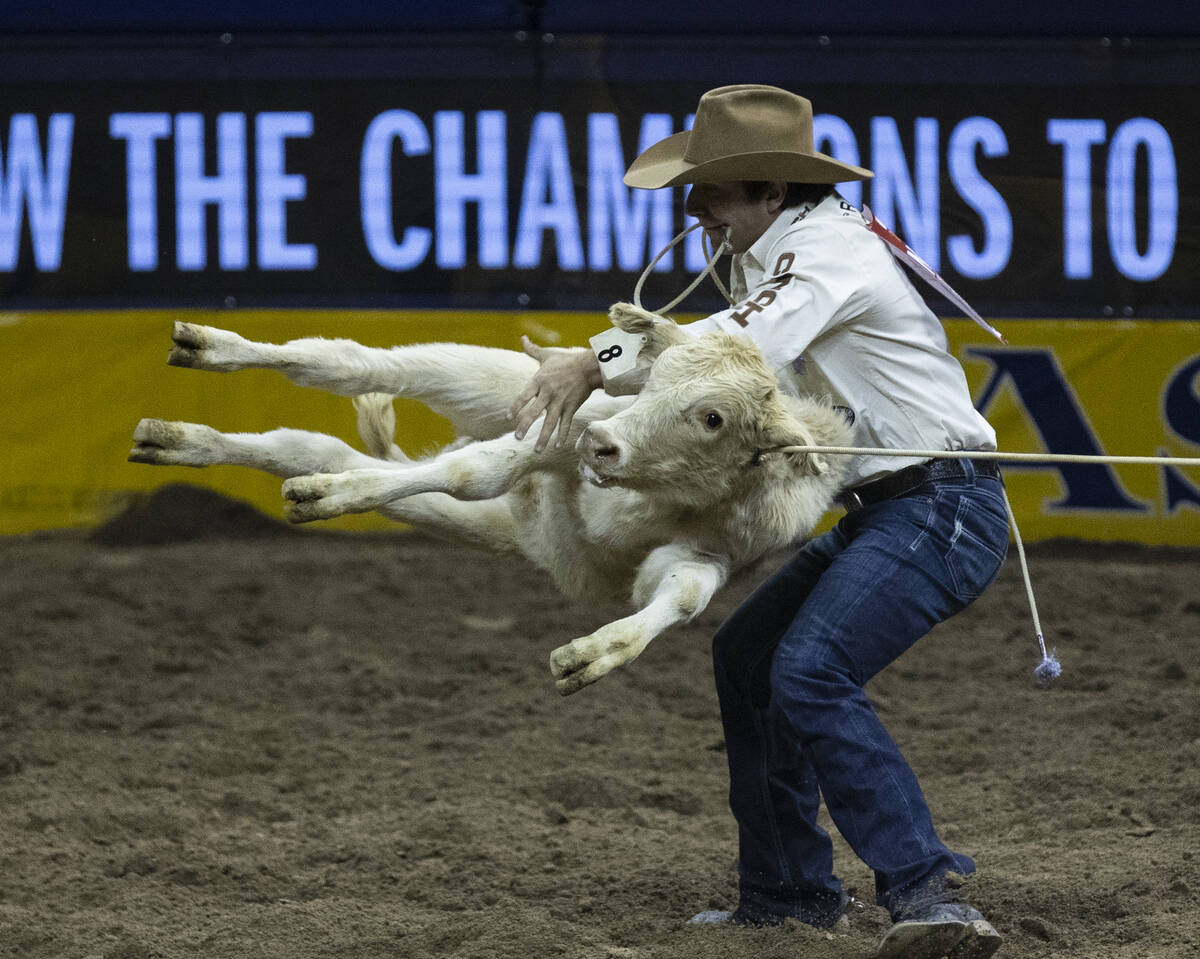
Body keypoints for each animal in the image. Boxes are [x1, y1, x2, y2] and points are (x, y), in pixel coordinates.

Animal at [131, 312, 854, 696]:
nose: (604, 446)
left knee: (310, 444)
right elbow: (474, 468)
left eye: (713, 416)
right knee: (351, 363)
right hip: (487, 379)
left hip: (495, 520)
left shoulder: (720, 550)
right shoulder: (559, 430)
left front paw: (593, 655)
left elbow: (680, 595)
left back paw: (179, 441)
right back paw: (211, 350)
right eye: (656, 381)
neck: (662, 489)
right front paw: (339, 497)